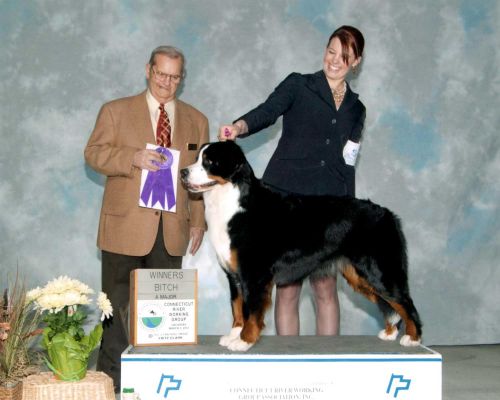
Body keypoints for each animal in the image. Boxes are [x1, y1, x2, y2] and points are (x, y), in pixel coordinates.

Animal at [181, 142, 422, 352]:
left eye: (209, 161)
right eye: (197, 158)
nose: (183, 172)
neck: (231, 203)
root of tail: (388, 214)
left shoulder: (253, 273)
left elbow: (251, 310)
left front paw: (244, 341)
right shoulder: (234, 275)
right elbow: (237, 307)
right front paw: (233, 335)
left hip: (379, 271)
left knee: (404, 302)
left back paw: (413, 338)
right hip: (360, 276)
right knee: (390, 305)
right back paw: (389, 333)